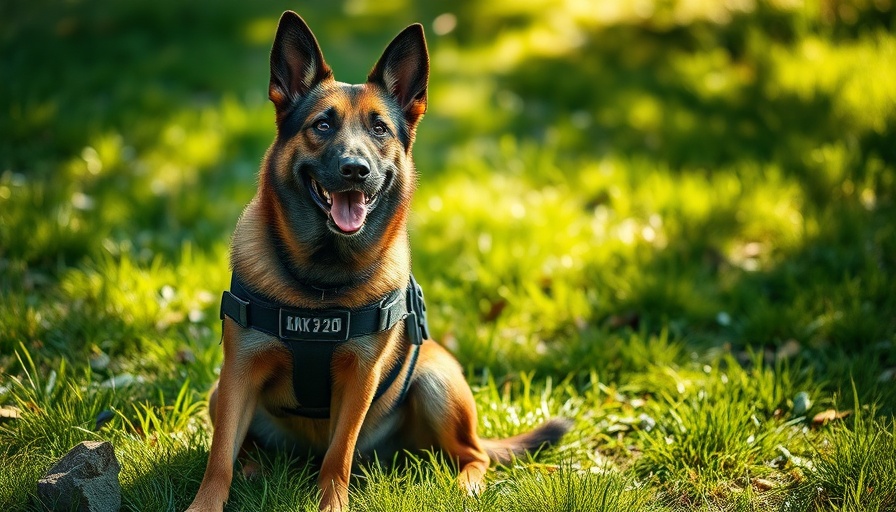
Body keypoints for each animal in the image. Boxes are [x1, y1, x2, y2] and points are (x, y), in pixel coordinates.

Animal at [186, 12, 572, 512]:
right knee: (243, 446)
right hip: (219, 394)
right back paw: (253, 466)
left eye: (380, 130)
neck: (321, 281)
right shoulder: (237, 373)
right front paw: (205, 504)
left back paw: (465, 485)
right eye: (322, 125)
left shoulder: (360, 380)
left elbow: (339, 456)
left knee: (473, 453)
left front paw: (331, 504)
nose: (356, 169)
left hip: (435, 379)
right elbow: (219, 459)